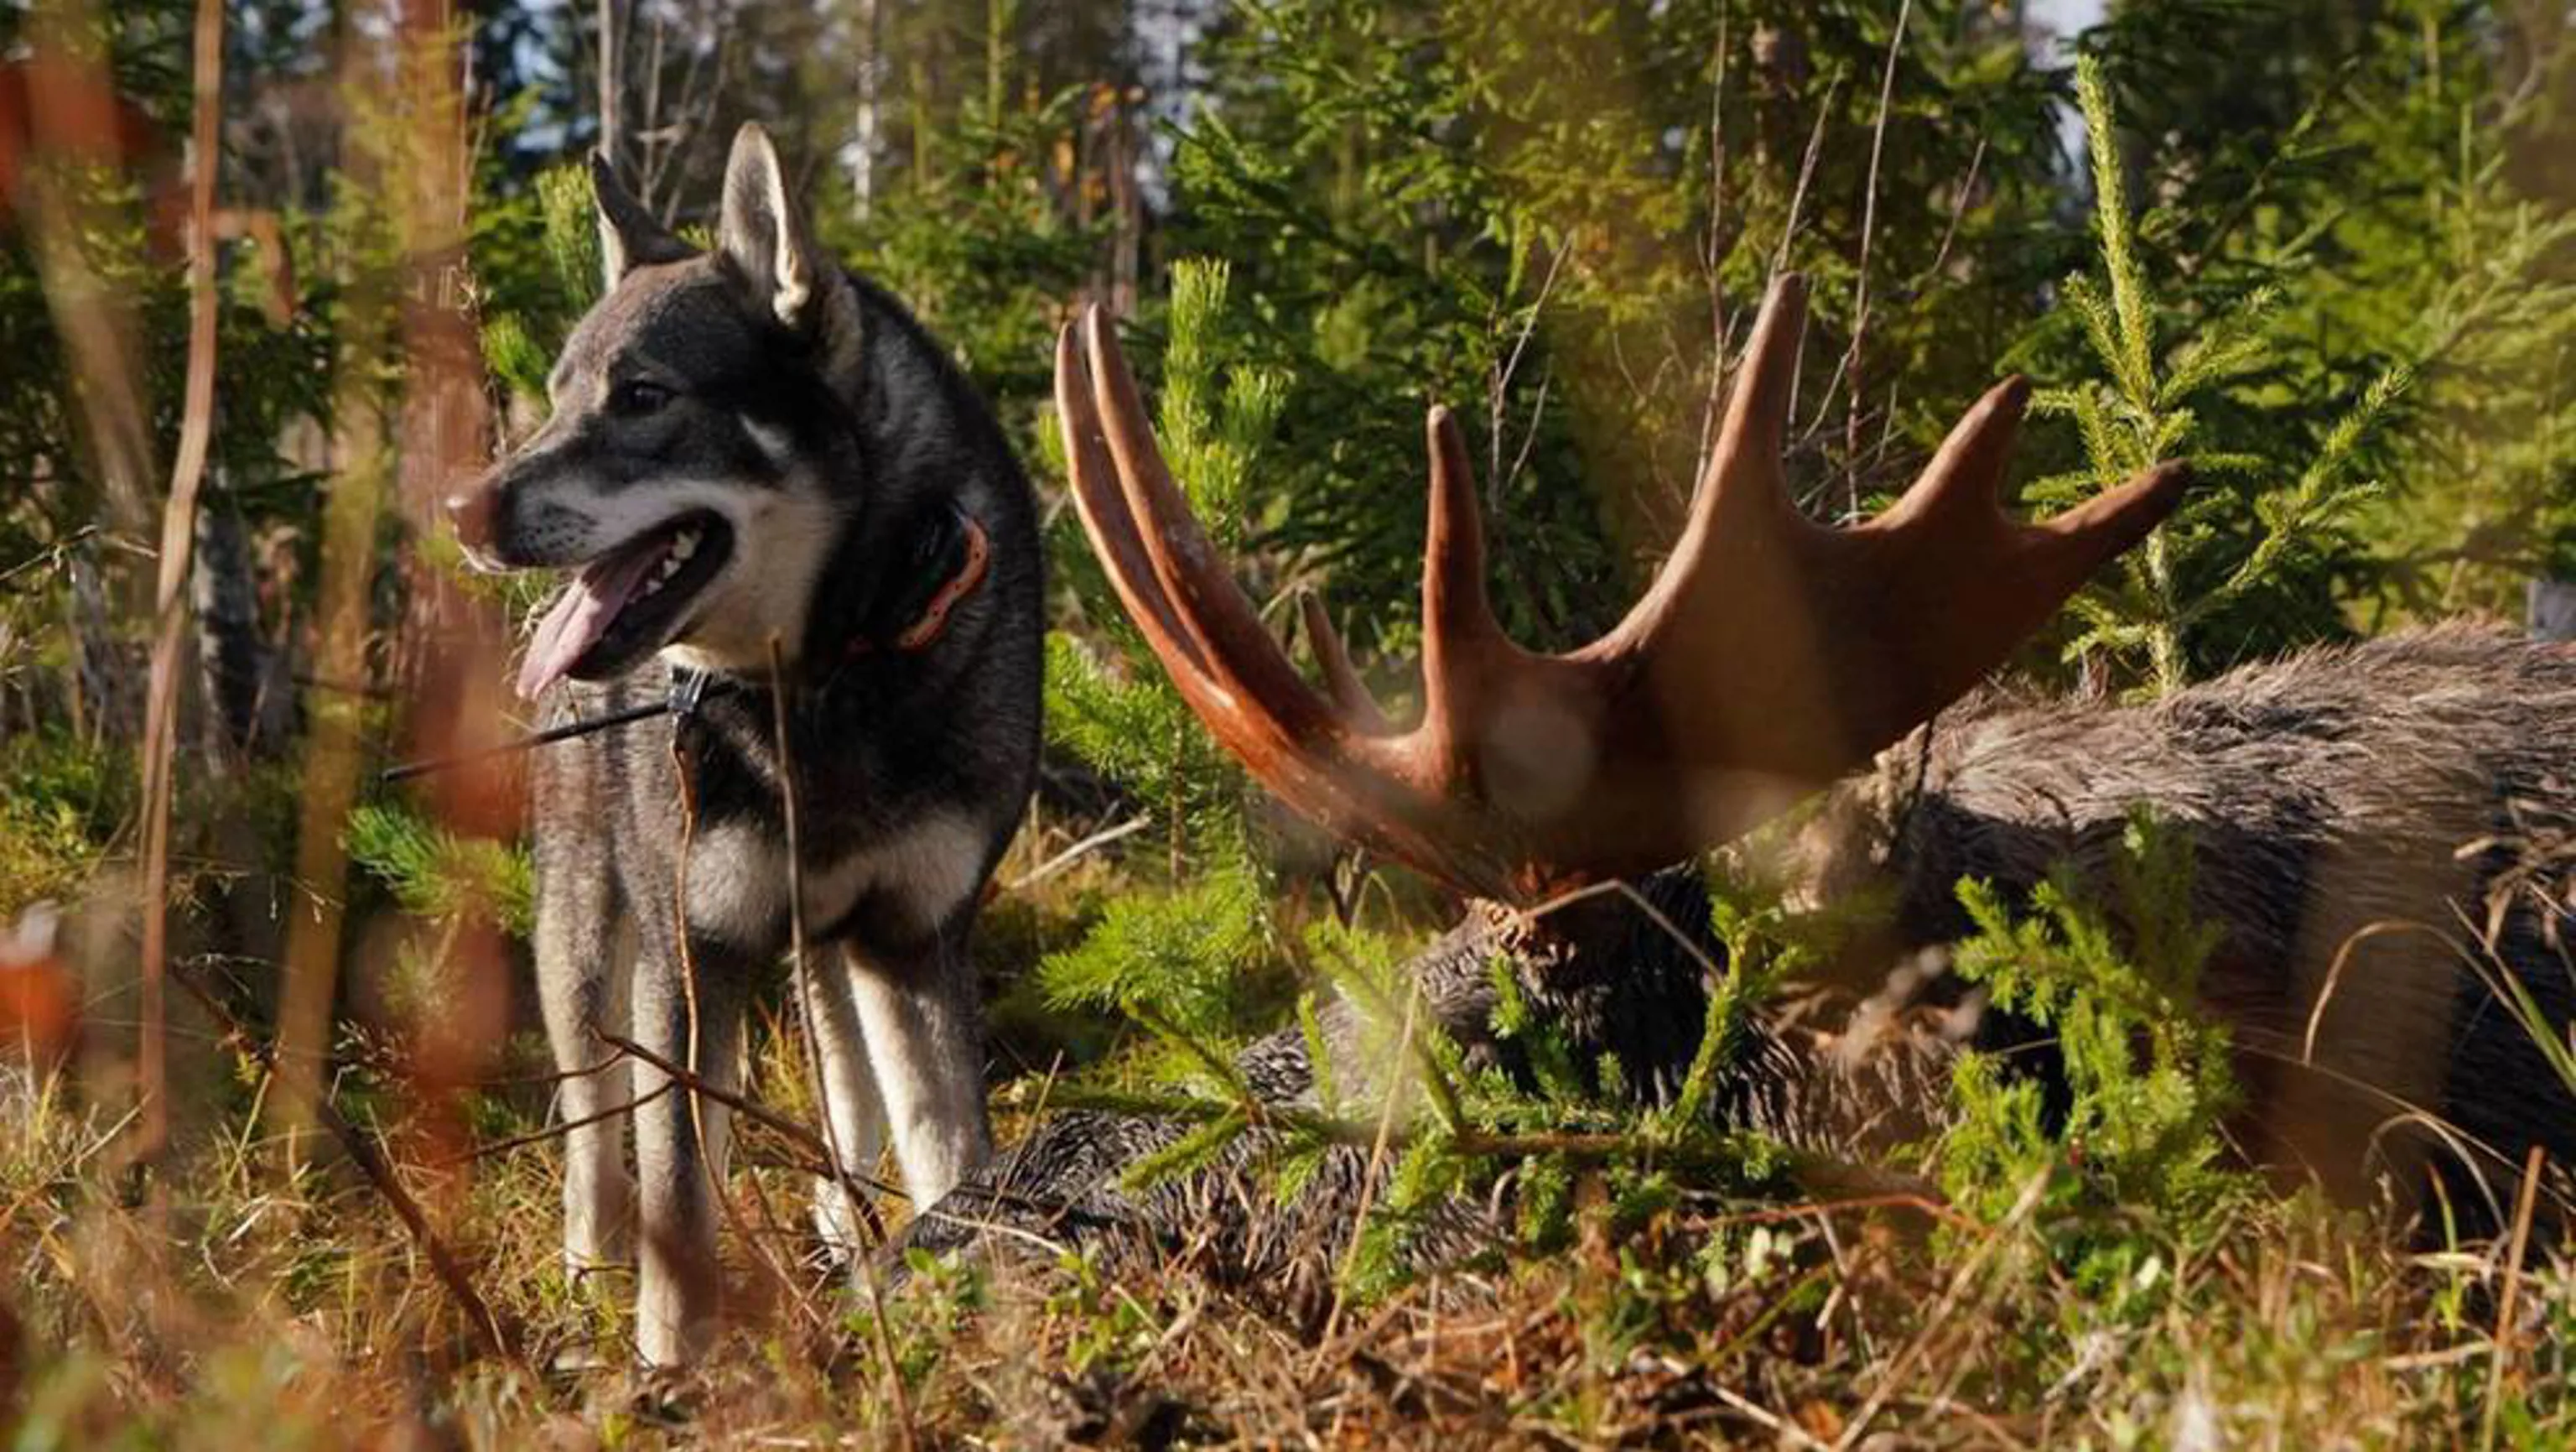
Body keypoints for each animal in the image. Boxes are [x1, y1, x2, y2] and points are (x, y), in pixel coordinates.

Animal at [448, 122, 1041, 1361]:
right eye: (558, 399)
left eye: (644, 395)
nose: (460, 511)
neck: (819, 678)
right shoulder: (692, 954)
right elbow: (676, 1186)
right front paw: (672, 1360)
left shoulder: (916, 937)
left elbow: (951, 1158)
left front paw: (959, 1324)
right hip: (587, 943)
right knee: (596, 1130)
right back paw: (593, 1275)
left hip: (827, 946)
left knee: (844, 1077)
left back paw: (840, 1220)